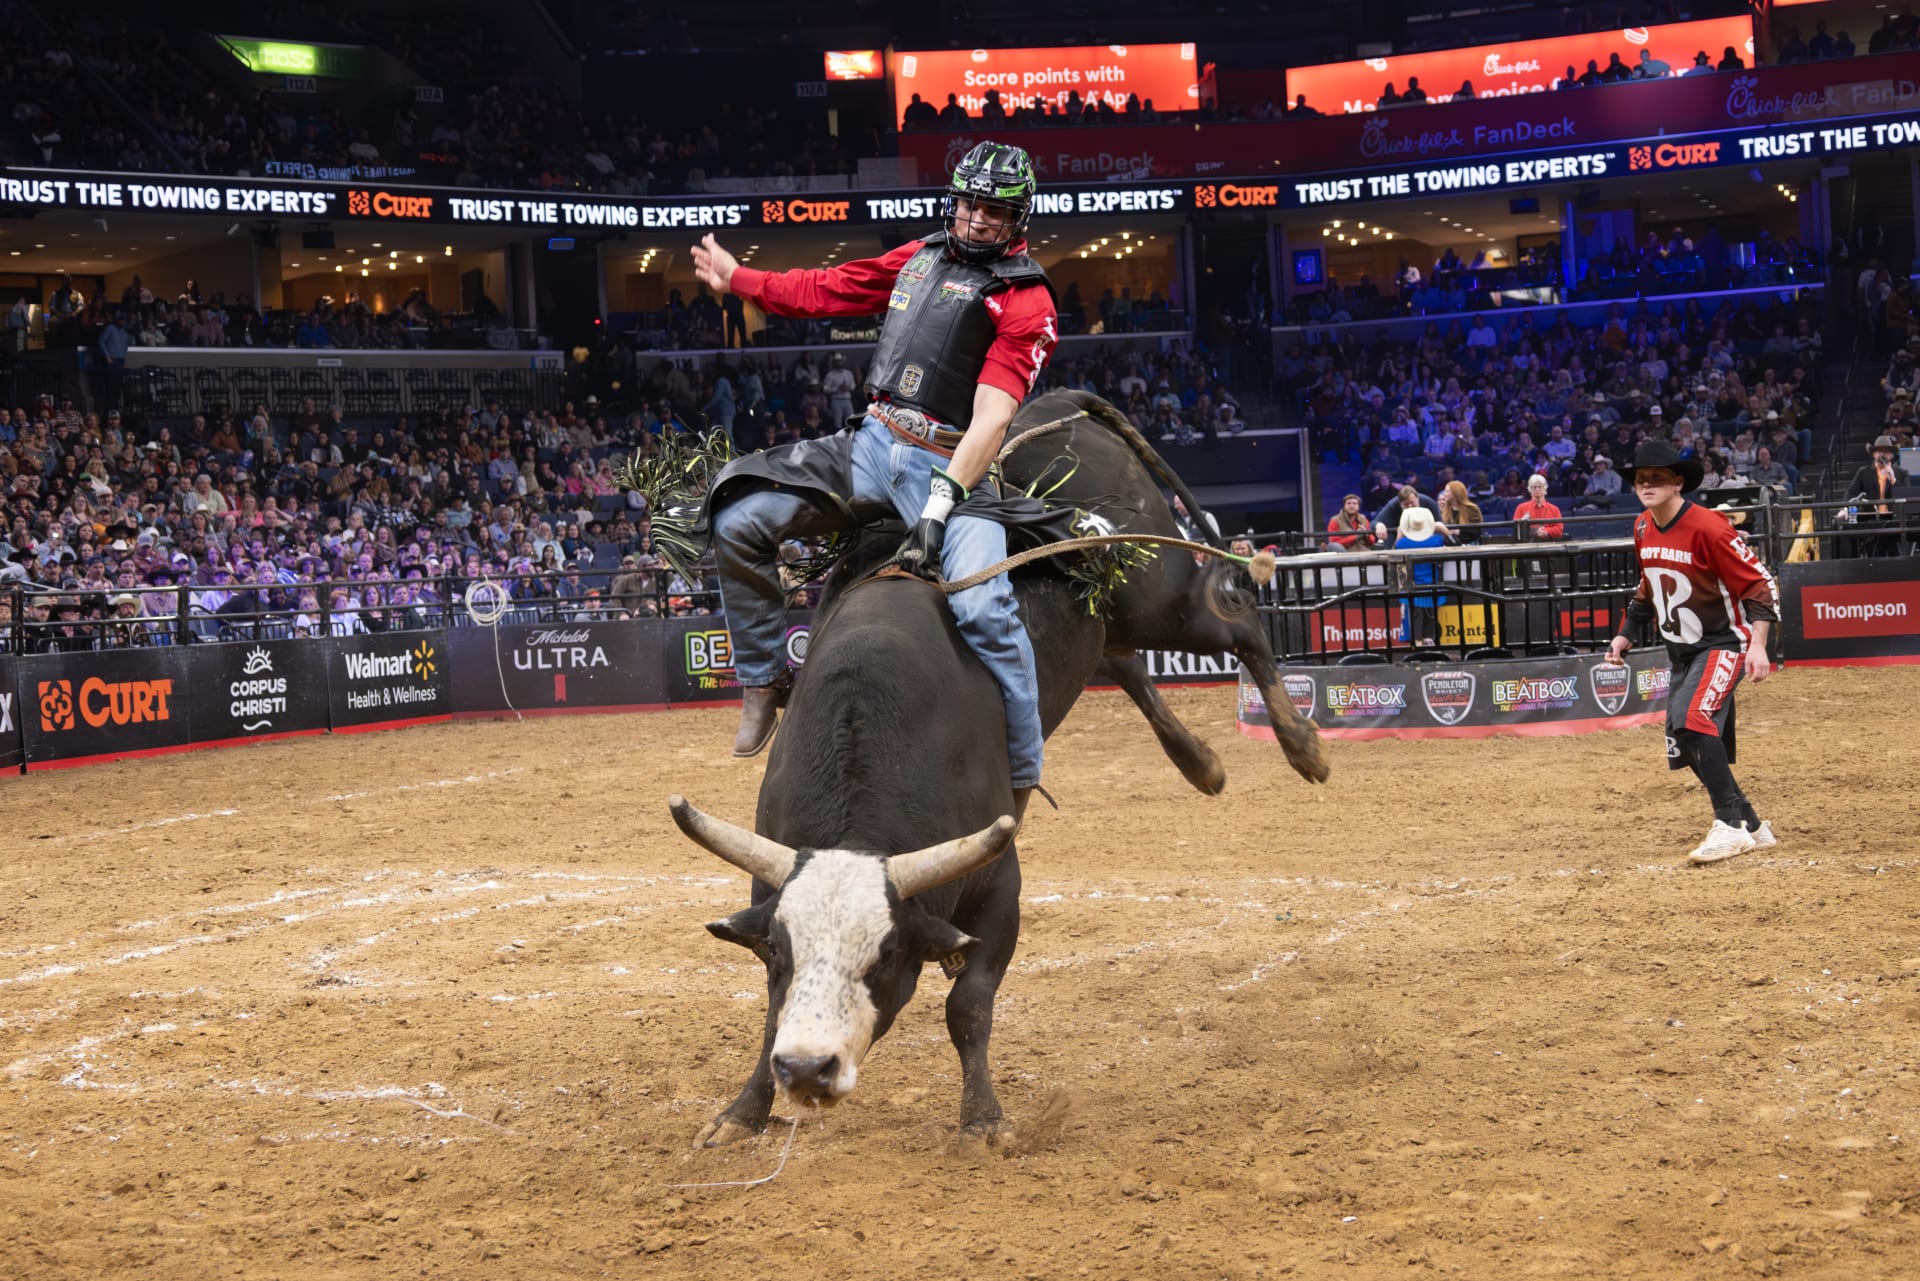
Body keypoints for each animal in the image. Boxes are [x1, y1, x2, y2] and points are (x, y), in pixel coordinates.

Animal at [675, 387, 1320, 1144]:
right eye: (782, 952)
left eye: (884, 955)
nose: (807, 1068)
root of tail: (1056, 402)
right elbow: (771, 1012)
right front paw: (742, 1112)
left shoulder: (999, 886)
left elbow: (969, 1006)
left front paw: (983, 1119)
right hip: (1111, 621)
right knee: (1125, 661)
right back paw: (1201, 762)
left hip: (1156, 592)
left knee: (1238, 619)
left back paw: (1301, 743)